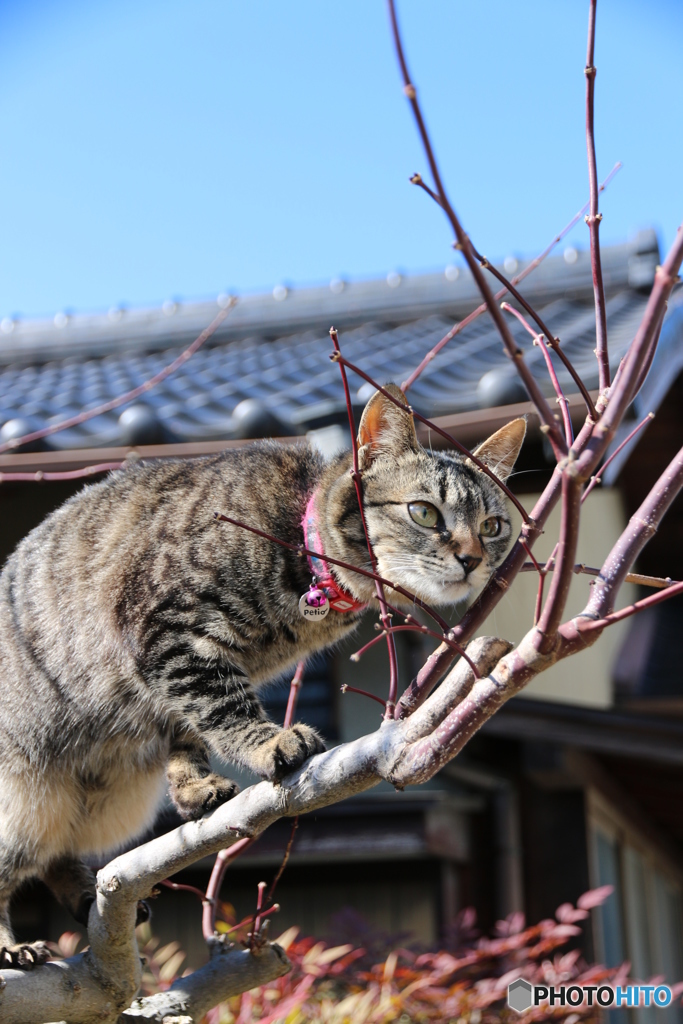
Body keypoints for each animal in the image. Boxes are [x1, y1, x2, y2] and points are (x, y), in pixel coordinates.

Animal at [0, 385, 528, 966]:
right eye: (424, 512)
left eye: (492, 527)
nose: (472, 559)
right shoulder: (169, 633)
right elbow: (221, 705)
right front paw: (268, 742)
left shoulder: (184, 672)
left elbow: (189, 727)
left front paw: (194, 786)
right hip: (20, 798)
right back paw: (12, 946)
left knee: (51, 854)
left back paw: (82, 891)